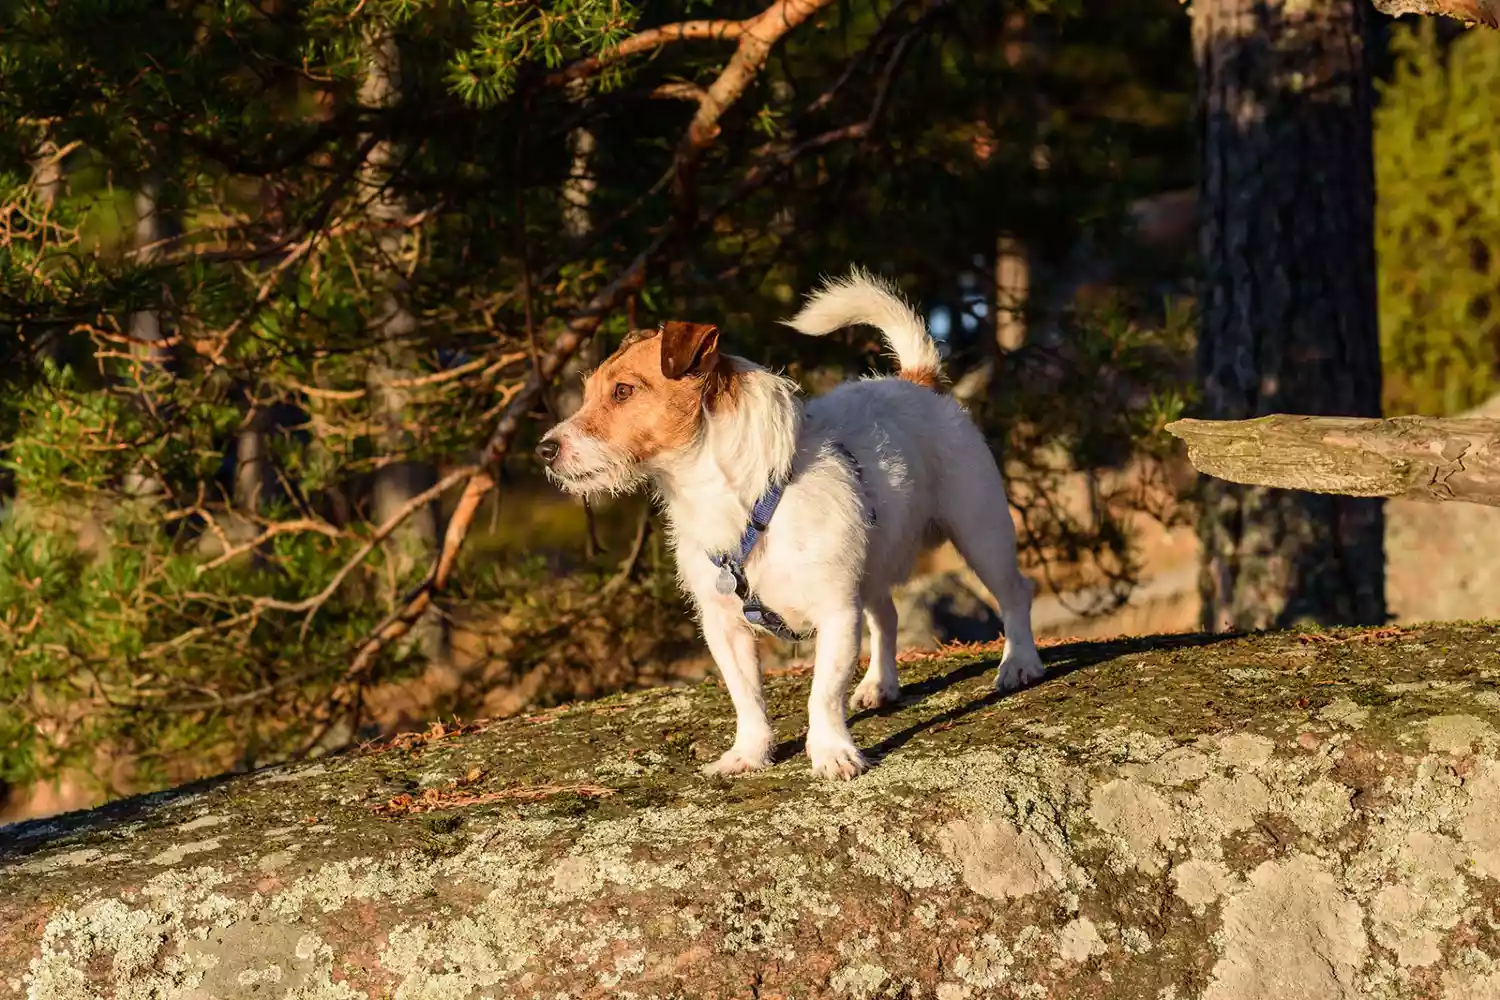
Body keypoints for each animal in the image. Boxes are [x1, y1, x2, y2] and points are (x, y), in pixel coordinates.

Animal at [540, 268, 1044, 779]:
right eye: (587, 392)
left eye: (623, 391)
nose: (544, 449)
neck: (740, 499)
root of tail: (917, 381)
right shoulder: (724, 625)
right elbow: (746, 697)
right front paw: (749, 753)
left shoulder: (836, 612)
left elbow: (823, 693)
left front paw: (831, 752)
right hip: (875, 561)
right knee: (886, 616)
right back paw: (879, 684)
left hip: (981, 532)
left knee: (1014, 593)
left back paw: (1019, 663)